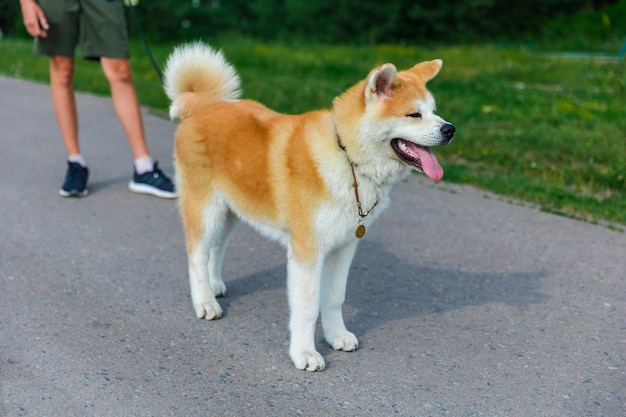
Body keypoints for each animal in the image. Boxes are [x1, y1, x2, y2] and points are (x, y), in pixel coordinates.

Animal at [163, 40, 450, 368]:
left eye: (434, 112)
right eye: (414, 114)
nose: (450, 129)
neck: (347, 156)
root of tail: (203, 106)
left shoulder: (343, 247)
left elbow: (334, 298)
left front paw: (336, 336)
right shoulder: (307, 252)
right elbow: (308, 306)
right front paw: (304, 353)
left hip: (231, 211)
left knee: (216, 248)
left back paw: (215, 286)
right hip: (206, 209)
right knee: (197, 255)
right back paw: (205, 301)